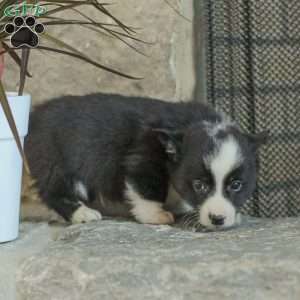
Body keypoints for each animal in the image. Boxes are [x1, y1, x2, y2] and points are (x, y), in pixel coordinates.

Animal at [24, 94, 268, 230]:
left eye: (236, 185)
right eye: (199, 186)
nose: (218, 219)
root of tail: (34, 116)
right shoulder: (143, 157)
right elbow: (147, 188)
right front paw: (156, 215)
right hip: (55, 160)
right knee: (54, 191)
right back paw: (82, 214)